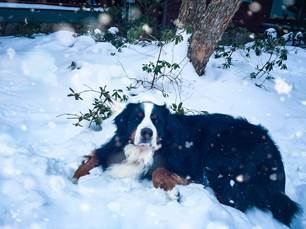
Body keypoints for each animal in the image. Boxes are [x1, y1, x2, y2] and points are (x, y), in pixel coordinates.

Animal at [73, 102, 300, 227]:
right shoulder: (112, 150)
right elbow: (93, 159)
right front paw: (75, 178)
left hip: (220, 162)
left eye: (156, 120)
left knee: (235, 201)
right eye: (137, 119)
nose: (146, 132)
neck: (142, 151)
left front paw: (173, 190)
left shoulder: (182, 162)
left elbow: (158, 171)